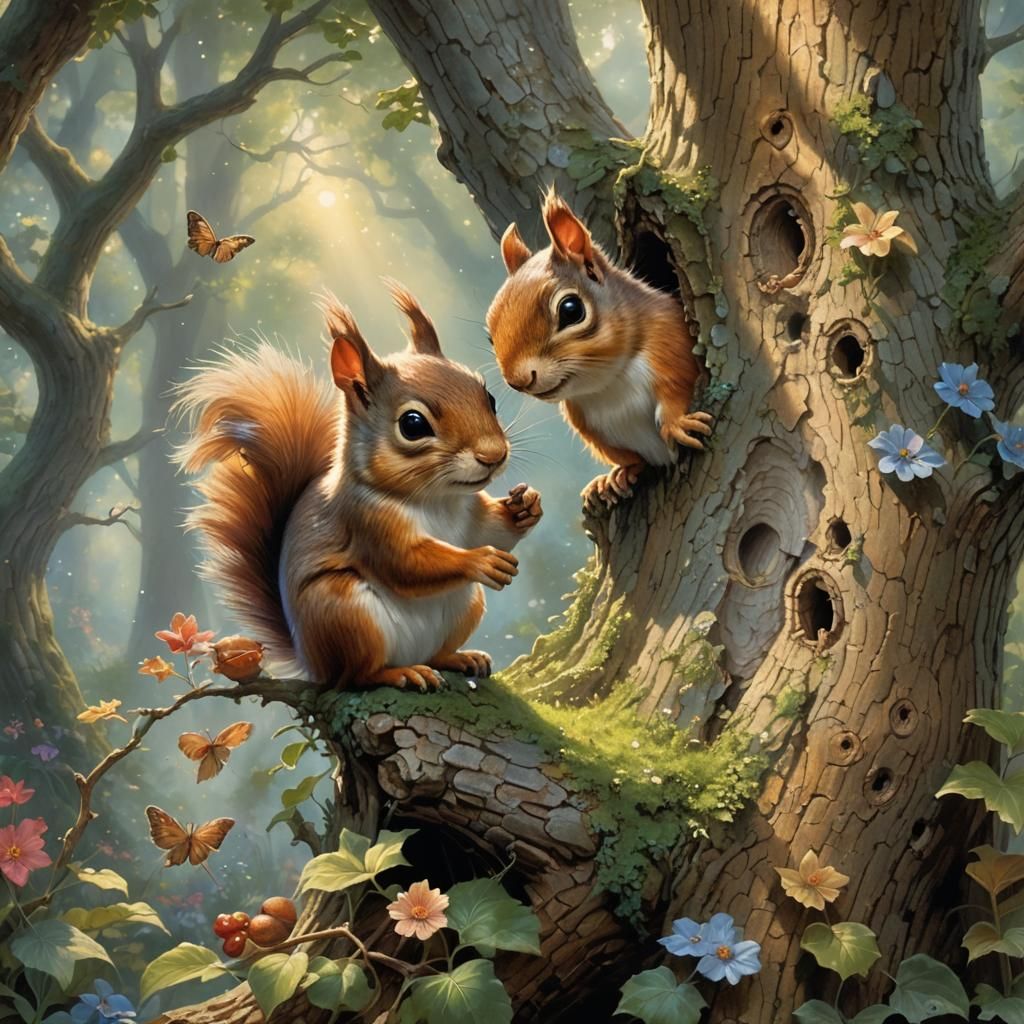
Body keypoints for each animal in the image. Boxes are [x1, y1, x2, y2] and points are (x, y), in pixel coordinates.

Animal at [174, 282, 543, 691]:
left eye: (488, 397)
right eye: (413, 425)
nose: (494, 455)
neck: (438, 497)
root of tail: (314, 663)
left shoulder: (470, 512)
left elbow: (489, 530)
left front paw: (525, 506)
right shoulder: (366, 522)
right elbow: (406, 565)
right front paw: (480, 560)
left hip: (466, 604)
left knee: (435, 653)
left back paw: (458, 657)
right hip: (345, 612)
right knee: (358, 675)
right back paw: (400, 672)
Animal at [485, 188, 712, 510]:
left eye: (571, 310)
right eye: (490, 336)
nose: (518, 381)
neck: (610, 383)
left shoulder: (672, 348)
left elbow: (677, 392)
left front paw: (678, 423)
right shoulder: (591, 429)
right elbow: (628, 458)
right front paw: (613, 478)